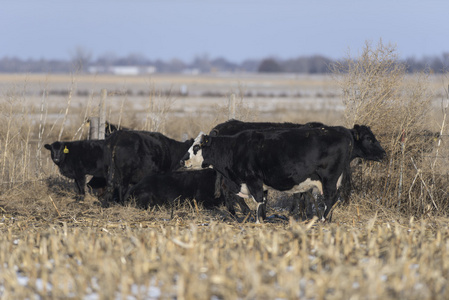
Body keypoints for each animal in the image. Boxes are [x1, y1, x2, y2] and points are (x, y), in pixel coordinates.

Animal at [180, 125, 384, 221]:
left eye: (196, 147)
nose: (182, 161)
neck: (235, 148)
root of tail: (342, 131)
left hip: (329, 179)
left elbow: (259, 202)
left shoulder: (254, 180)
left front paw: (258, 221)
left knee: (330, 199)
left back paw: (322, 220)